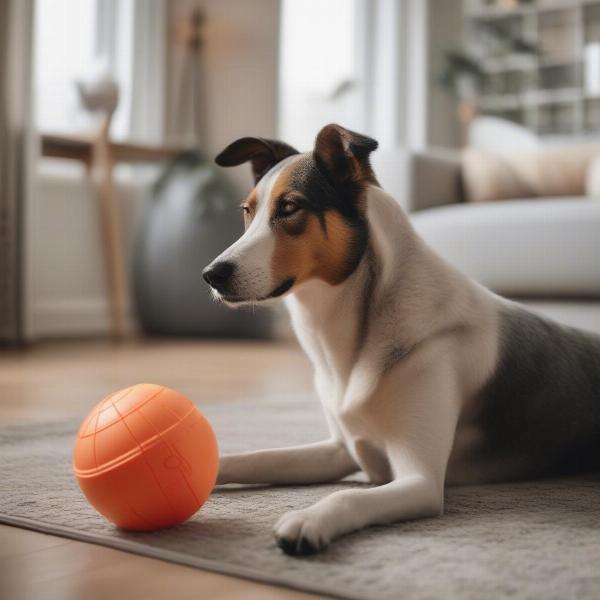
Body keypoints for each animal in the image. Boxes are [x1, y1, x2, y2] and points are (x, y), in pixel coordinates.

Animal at [203, 124, 600, 556]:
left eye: (290, 207)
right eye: (248, 210)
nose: (211, 274)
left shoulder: (420, 481)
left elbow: (348, 495)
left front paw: (308, 520)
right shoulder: (338, 449)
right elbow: (254, 456)